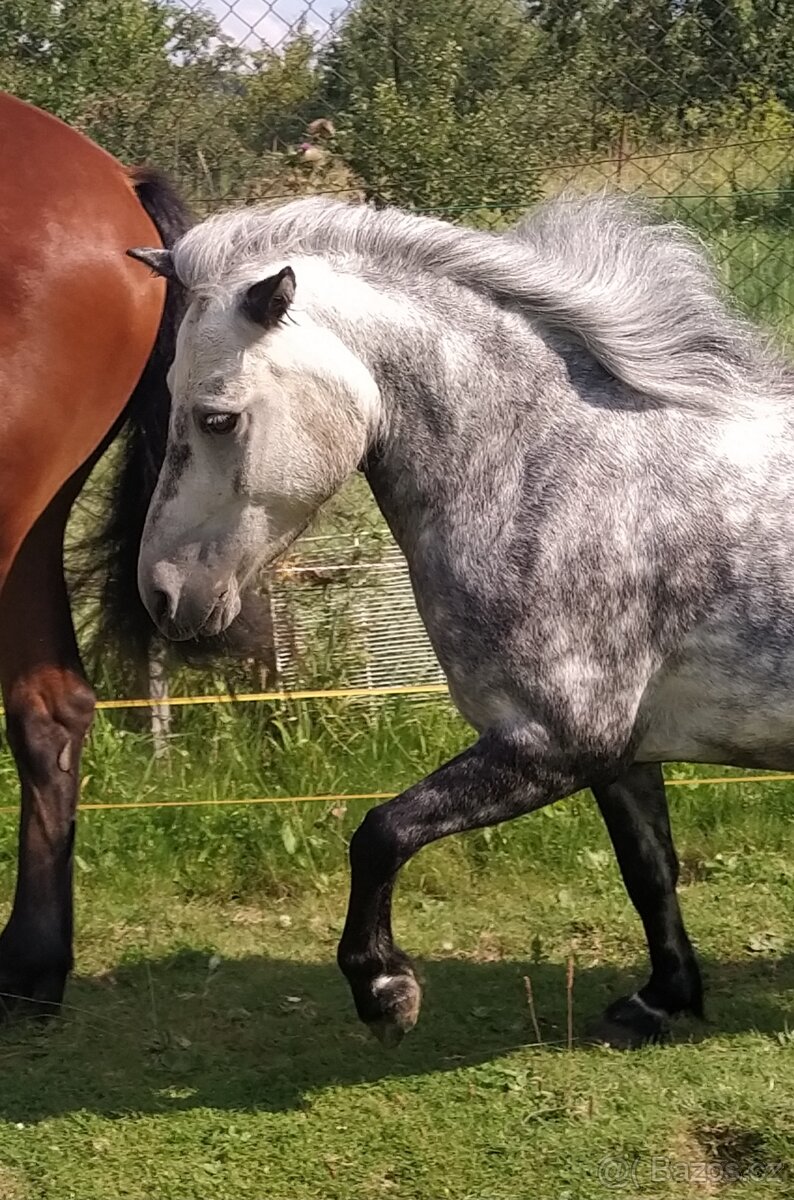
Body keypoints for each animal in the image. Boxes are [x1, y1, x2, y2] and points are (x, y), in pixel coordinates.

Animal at [129, 192, 794, 1049]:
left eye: (216, 418)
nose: (163, 595)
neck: (552, 471)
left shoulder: (552, 742)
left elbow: (381, 831)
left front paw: (384, 991)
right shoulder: (617, 752)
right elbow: (648, 870)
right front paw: (661, 998)